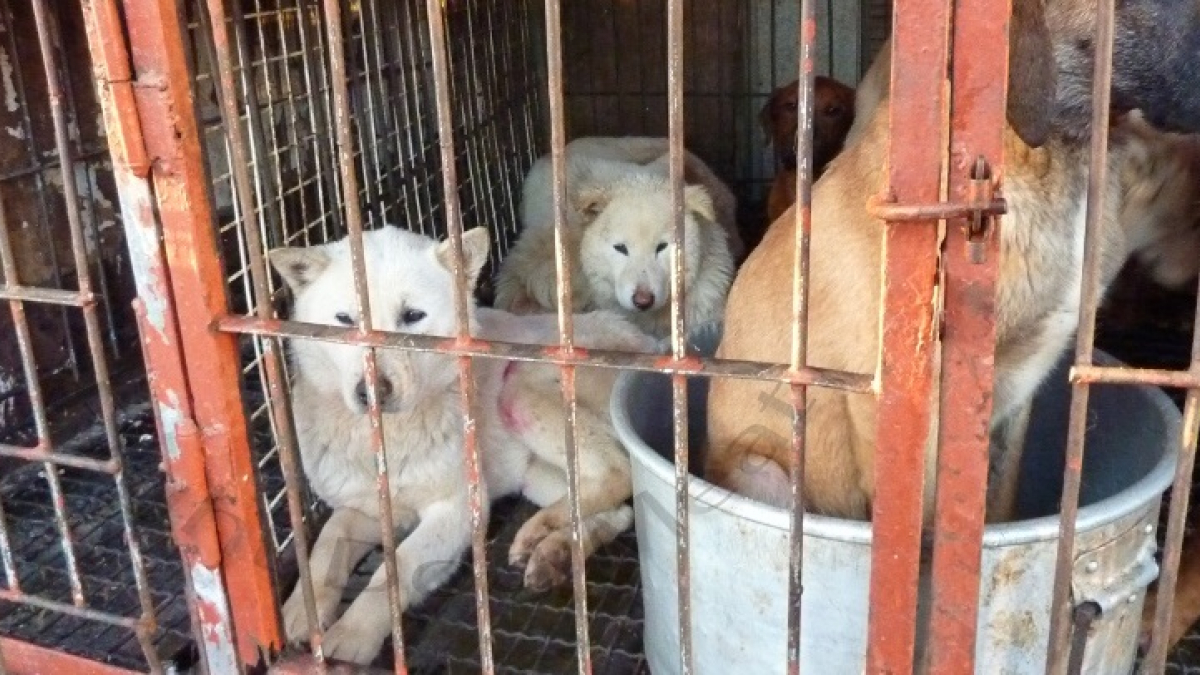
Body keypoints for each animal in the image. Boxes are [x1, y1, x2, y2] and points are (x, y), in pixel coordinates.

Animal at [271, 225, 657, 662]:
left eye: (412, 316)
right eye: (344, 320)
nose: (371, 393)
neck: (390, 439)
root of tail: (650, 345)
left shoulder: (457, 510)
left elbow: (397, 566)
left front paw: (354, 634)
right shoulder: (370, 508)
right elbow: (326, 544)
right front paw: (303, 611)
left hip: (518, 389)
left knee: (617, 472)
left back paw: (539, 530)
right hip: (535, 473)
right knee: (615, 512)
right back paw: (552, 552)